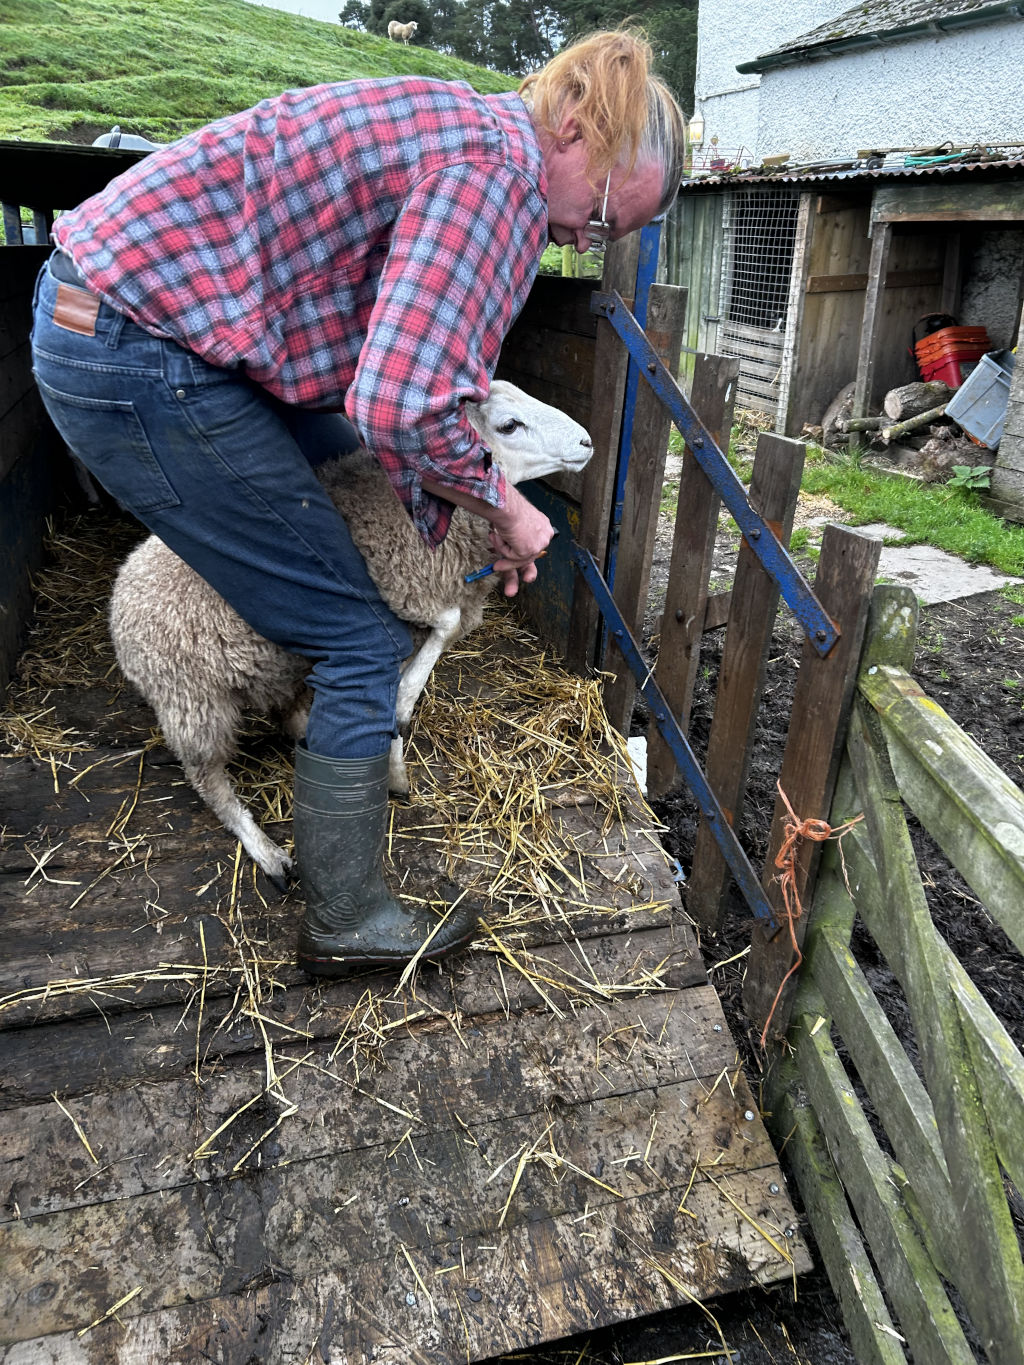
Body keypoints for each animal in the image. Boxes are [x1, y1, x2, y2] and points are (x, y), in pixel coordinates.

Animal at [109, 381, 593, 887]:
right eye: (508, 425)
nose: (586, 442)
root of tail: (120, 595)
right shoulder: (402, 587)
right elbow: (440, 630)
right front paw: (402, 713)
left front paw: (395, 752)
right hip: (192, 701)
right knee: (208, 781)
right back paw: (266, 852)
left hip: (265, 668)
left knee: (287, 710)